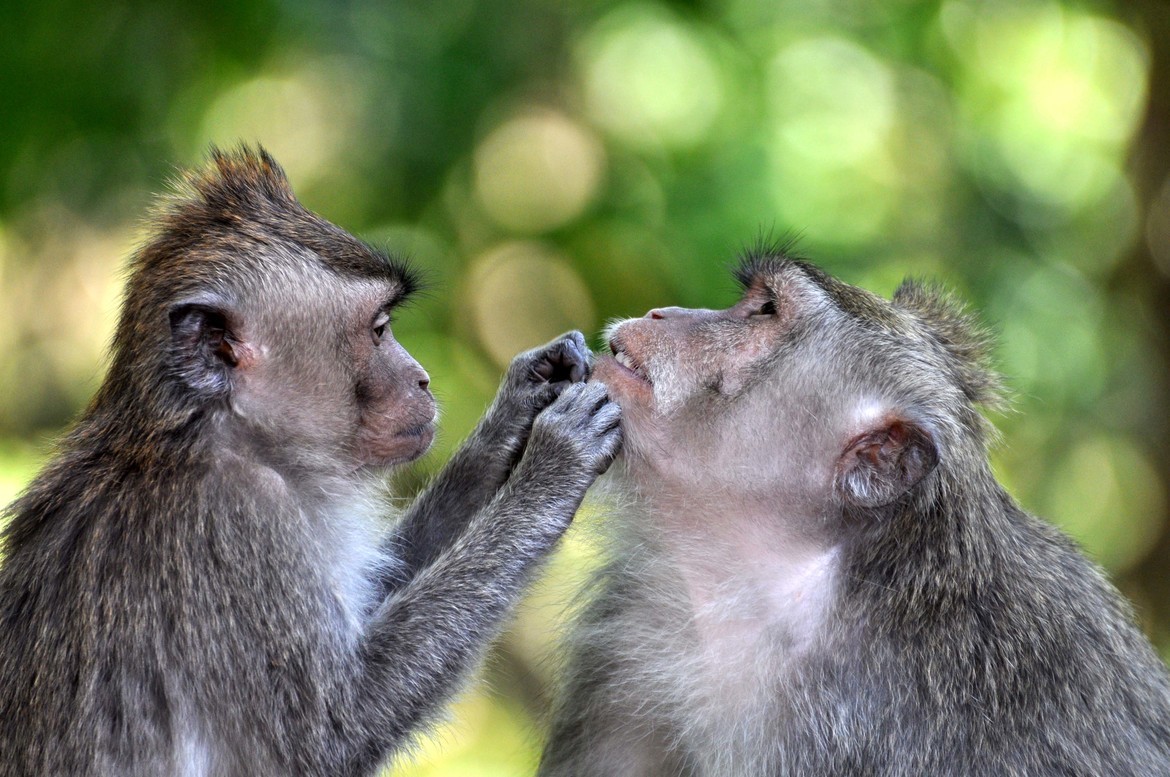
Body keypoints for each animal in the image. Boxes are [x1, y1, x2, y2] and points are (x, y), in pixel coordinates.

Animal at [0, 146, 622, 777]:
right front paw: (551, 466)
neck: (204, 434)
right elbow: (331, 735)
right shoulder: (239, 522)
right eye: (379, 329)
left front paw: (523, 399)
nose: (422, 379)